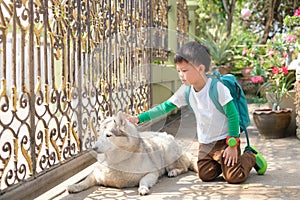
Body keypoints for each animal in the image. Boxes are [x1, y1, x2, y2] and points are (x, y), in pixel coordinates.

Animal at [67, 111, 197, 195]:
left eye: (108, 135)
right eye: (99, 136)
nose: (93, 148)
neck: (116, 160)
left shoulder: (152, 172)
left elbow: (142, 180)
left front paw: (143, 188)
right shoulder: (96, 174)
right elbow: (85, 181)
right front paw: (75, 186)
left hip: (168, 153)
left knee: (184, 167)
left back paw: (174, 171)